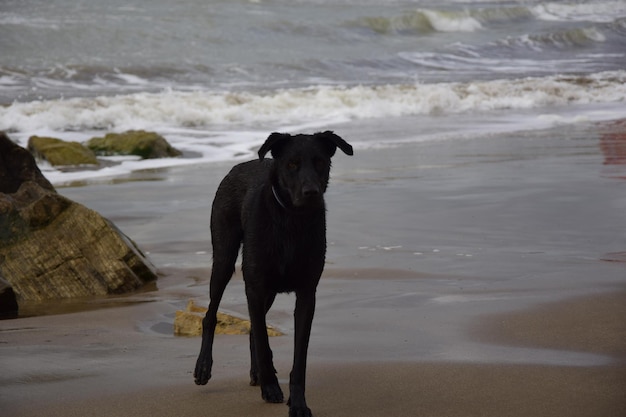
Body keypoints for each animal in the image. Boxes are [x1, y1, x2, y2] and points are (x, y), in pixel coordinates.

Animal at [194, 130, 352, 416]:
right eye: (291, 164)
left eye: (320, 162)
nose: (311, 193)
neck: (292, 221)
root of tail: (240, 165)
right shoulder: (255, 287)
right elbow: (263, 340)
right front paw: (270, 388)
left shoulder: (306, 294)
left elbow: (298, 357)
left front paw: (298, 402)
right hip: (224, 258)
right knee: (212, 315)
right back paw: (203, 367)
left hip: (268, 291)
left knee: (253, 329)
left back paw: (256, 373)